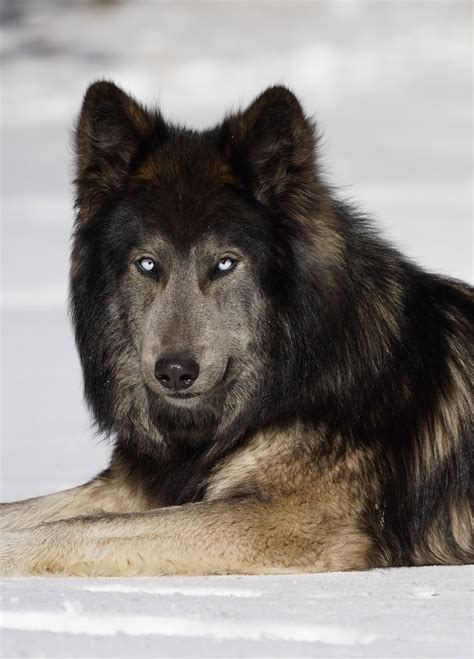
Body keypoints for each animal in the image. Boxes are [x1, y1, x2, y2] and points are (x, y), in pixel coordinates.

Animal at [1, 82, 472, 576]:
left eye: (225, 264)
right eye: (147, 264)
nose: (175, 371)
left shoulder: (292, 521)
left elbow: (85, 527)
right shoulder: (137, 485)